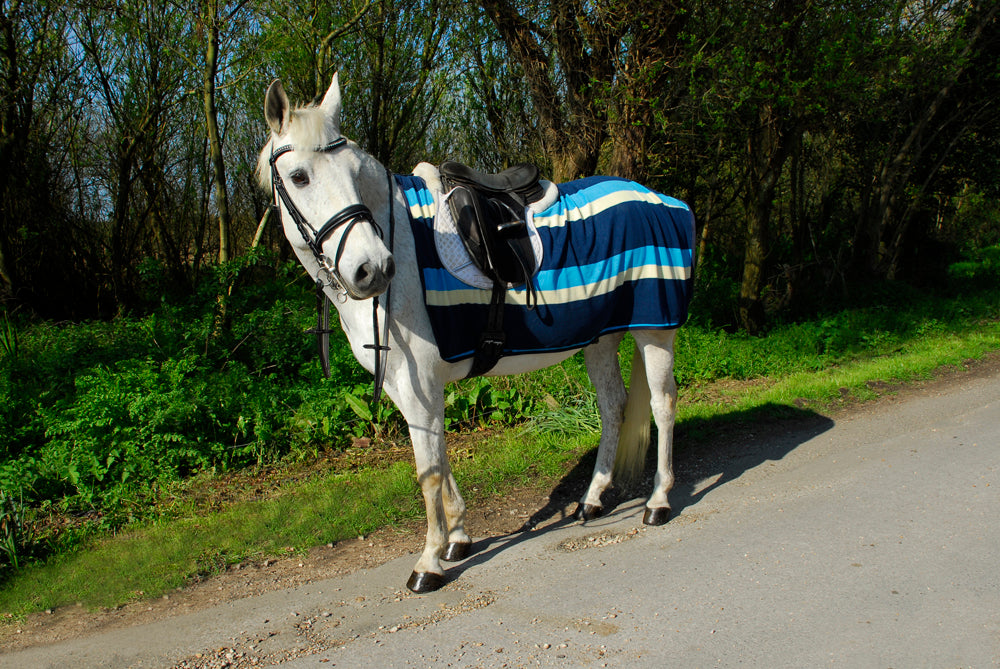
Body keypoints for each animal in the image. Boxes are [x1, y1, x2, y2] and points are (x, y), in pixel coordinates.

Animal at [256, 74, 695, 593]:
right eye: (299, 176)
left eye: (355, 171)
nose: (373, 269)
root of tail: (662, 200)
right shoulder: (408, 388)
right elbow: (440, 462)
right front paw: (458, 540)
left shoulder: (421, 386)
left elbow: (428, 472)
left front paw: (428, 563)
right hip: (601, 338)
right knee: (613, 407)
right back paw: (592, 499)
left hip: (654, 330)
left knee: (663, 405)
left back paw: (658, 502)